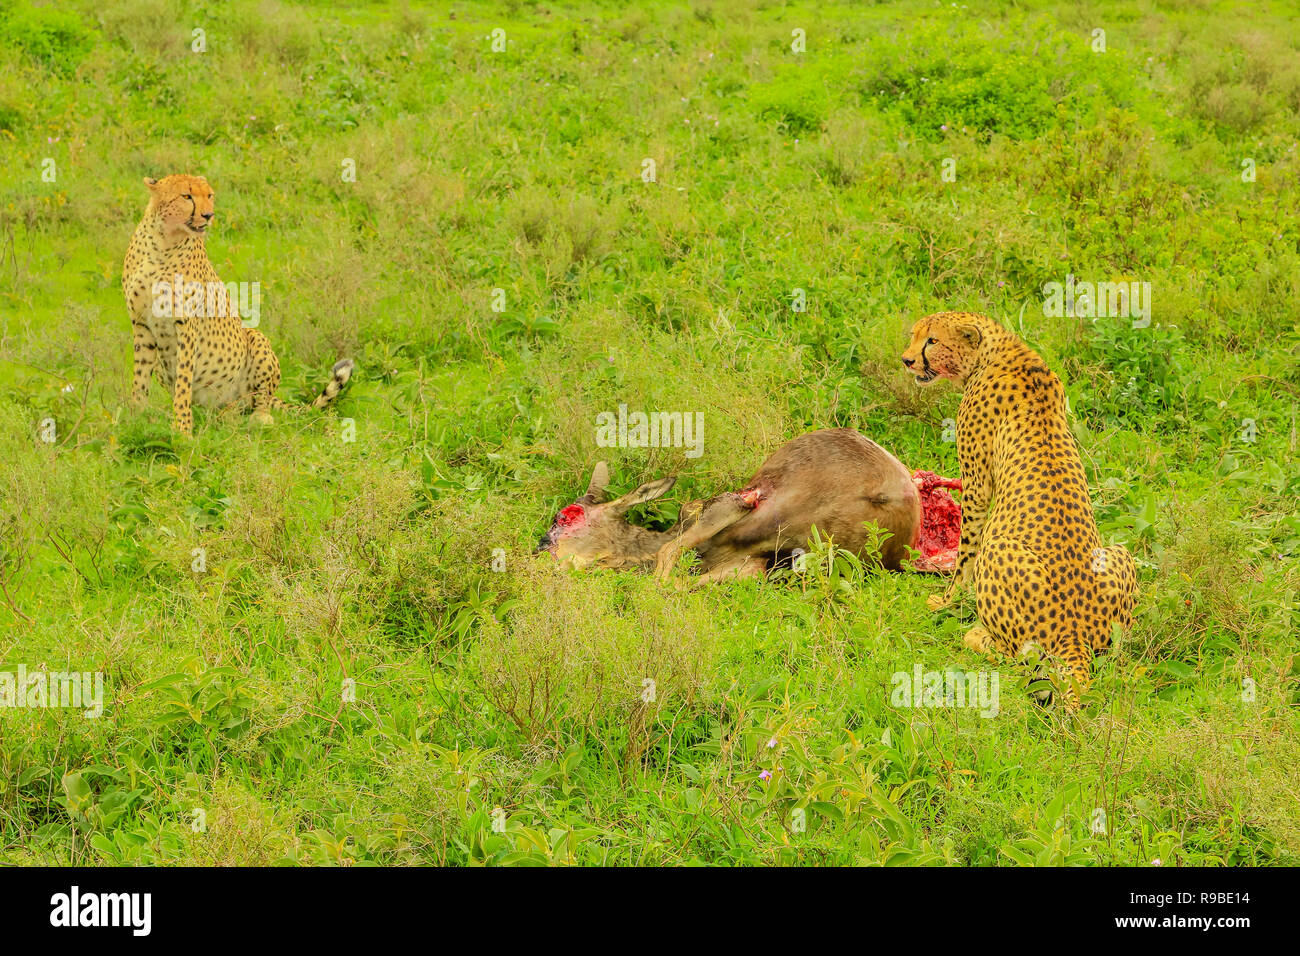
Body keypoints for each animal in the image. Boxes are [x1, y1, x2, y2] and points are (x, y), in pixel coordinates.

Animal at [122, 174, 356, 434]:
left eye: (209, 195)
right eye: (187, 196)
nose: (208, 215)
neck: (164, 240)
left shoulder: (186, 325)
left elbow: (183, 382)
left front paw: (182, 428)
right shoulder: (141, 324)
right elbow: (140, 378)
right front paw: (136, 420)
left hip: (254, 338)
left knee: (258, 401)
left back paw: (257, 419)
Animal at [904, 310, 1138, 707]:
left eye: (932, 340)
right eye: (916, 335)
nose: (907, 360)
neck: (999, 352)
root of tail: (1074, 633)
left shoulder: (978, 483)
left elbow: (965, 550)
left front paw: (948, 601)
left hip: (999, 552)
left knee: (1019, 656)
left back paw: (976, 634)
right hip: (1120, 557)